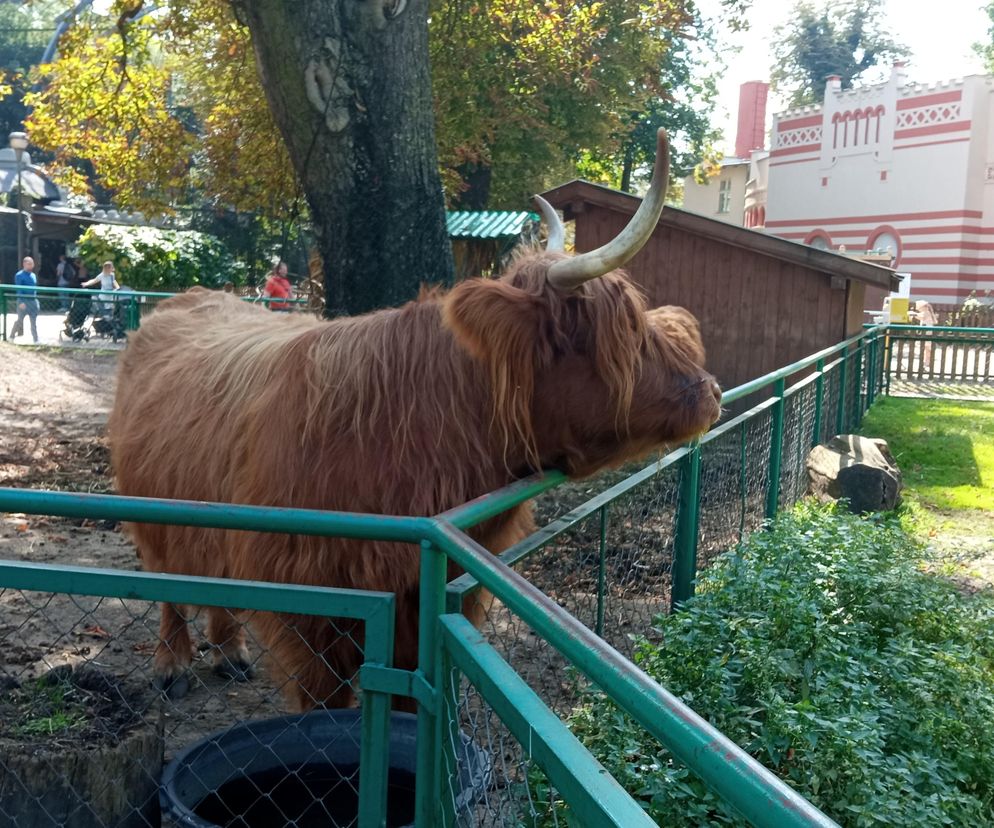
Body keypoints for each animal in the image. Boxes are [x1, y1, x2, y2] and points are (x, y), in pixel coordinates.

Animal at [108, 131, 716, 712]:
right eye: (622, 334)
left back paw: (230, 652)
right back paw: (172, 665)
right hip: (151, 511)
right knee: (167, 585)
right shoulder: (309, 615)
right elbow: (324, 703)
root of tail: (187, 299)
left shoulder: (426, 609)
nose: (709, 391)